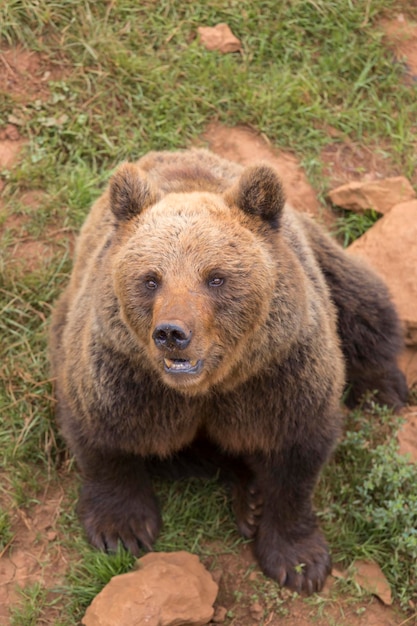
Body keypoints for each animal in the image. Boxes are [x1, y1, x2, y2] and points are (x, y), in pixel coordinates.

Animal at [49, 146, 406, 588]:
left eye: (215, 278)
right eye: (151, 279)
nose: (172, 333)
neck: (211, 385)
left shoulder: (279, 372)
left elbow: (298, 452)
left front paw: (299, 561)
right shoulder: (125, 374)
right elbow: (102, 433)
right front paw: (121, 528)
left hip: (322, 261)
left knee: (361, 300)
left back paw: (383, 387)